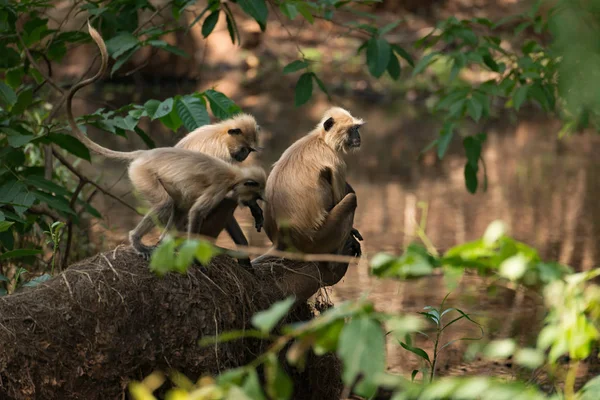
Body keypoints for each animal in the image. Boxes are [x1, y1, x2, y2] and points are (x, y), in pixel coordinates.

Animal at [63, 25, 268, 262]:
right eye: (245, 149)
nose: (244, 156)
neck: (219, 134)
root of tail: (147, 153)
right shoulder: (222, 159)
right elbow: (224, 195)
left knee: (178, 204)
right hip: (144, 176)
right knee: (168, 204)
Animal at [264, 106, 366, 255]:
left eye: (357, 128)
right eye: (352, 129)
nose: (358, 136)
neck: (321, 139)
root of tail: (280, 240)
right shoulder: (337, 161)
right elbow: (339, 197)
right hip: (317, 240)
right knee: (351, 198)